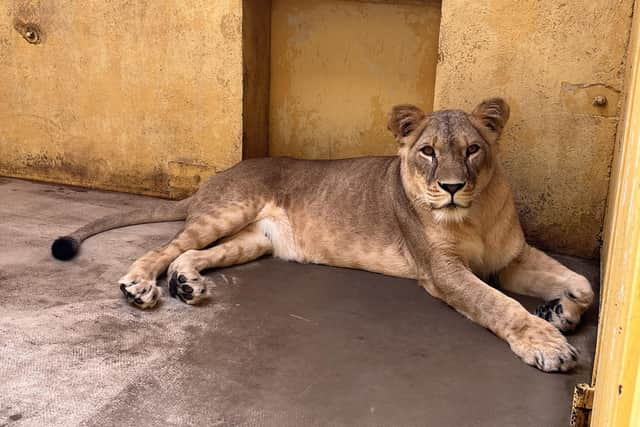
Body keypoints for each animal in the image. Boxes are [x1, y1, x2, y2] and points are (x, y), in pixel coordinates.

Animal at [51, 98, 596, 372]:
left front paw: (560, 311)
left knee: (193, 257)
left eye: (472, 149)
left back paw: (187, 286)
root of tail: (214, 177)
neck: (475, 212)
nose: (452, 187)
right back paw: (139, 286)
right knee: (164, 248)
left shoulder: (511, 258)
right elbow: (497, 304)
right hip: (226, 211)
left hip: (254, 239)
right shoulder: (441, 270)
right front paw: (547, 343)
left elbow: (583, 286)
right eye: (427, 152)